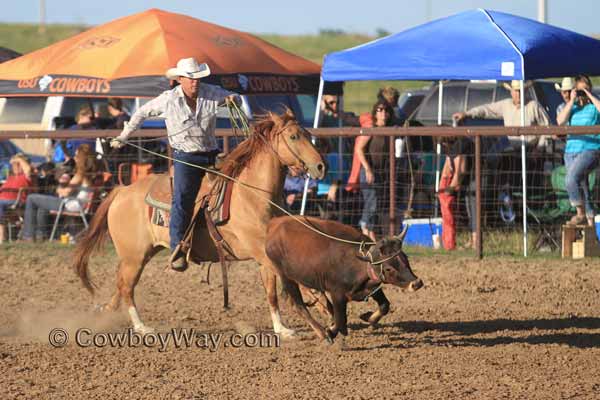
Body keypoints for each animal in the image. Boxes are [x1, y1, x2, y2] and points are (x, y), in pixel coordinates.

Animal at [75, 108, 328, 334]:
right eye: (293, 136)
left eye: (307, 133)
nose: (320, 166)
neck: (252, 194)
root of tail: (122, 190)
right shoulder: (260, 251)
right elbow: (289, 280)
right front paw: (320, 308)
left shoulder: (265, 254)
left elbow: (271, 291)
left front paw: (282, 328)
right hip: (133, 257)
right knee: (127, 287)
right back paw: (141, 327)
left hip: (141, 254)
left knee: (120, 285)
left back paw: (106, 311)